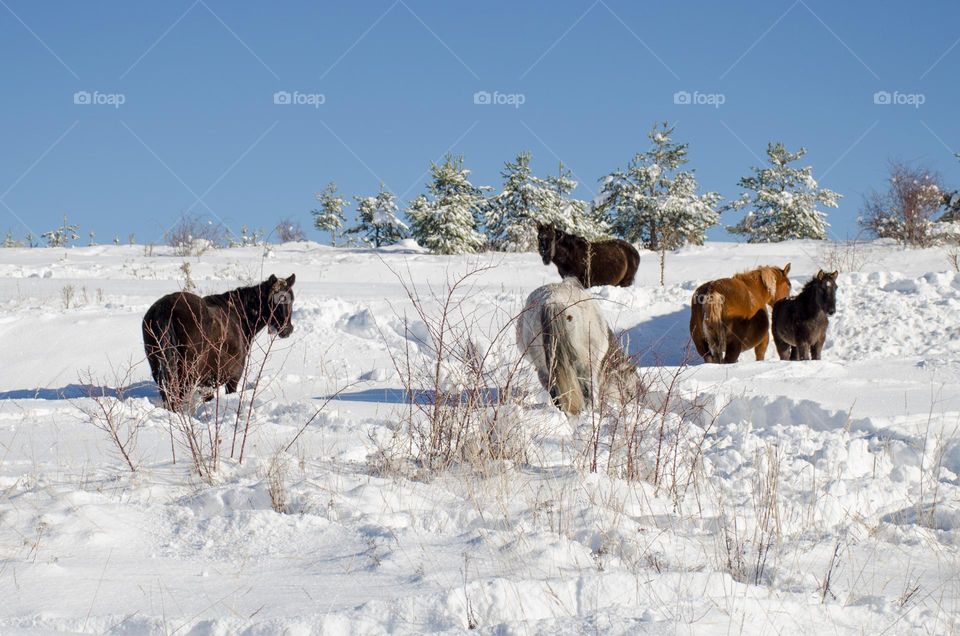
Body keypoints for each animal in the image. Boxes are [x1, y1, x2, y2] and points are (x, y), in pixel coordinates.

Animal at [143, 272, 296, 410]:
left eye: (292, 299)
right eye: (275, 300)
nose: (287, 329)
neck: (239, 315)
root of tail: (166, 307)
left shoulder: (207, 383)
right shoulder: (232, 378)